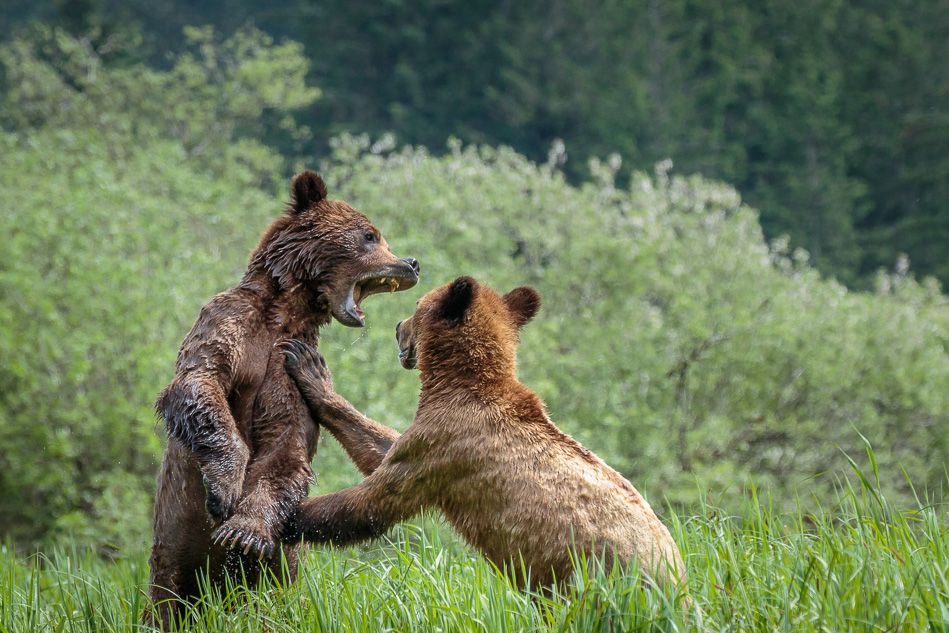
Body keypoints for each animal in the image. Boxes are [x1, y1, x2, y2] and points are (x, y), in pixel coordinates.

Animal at [145, 170, 420, 630]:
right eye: (370, 235)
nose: (412, 263)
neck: (285, 312)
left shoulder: (285, 363)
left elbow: (284, 444)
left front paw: (242, 529)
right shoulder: (230, 323)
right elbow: (200, 382)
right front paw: (223, 487)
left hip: (278, 567)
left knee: (273, 597)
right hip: (173, 537)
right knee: (166, 594)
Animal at [277, 276, 689, 599]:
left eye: (416, 305)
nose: (397, 325)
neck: (458, 383)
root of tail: (679, 585)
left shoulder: (446, 445)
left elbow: (373, 500)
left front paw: (288, 517)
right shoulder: (432, 438)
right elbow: (380, 447)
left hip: (597, 575)